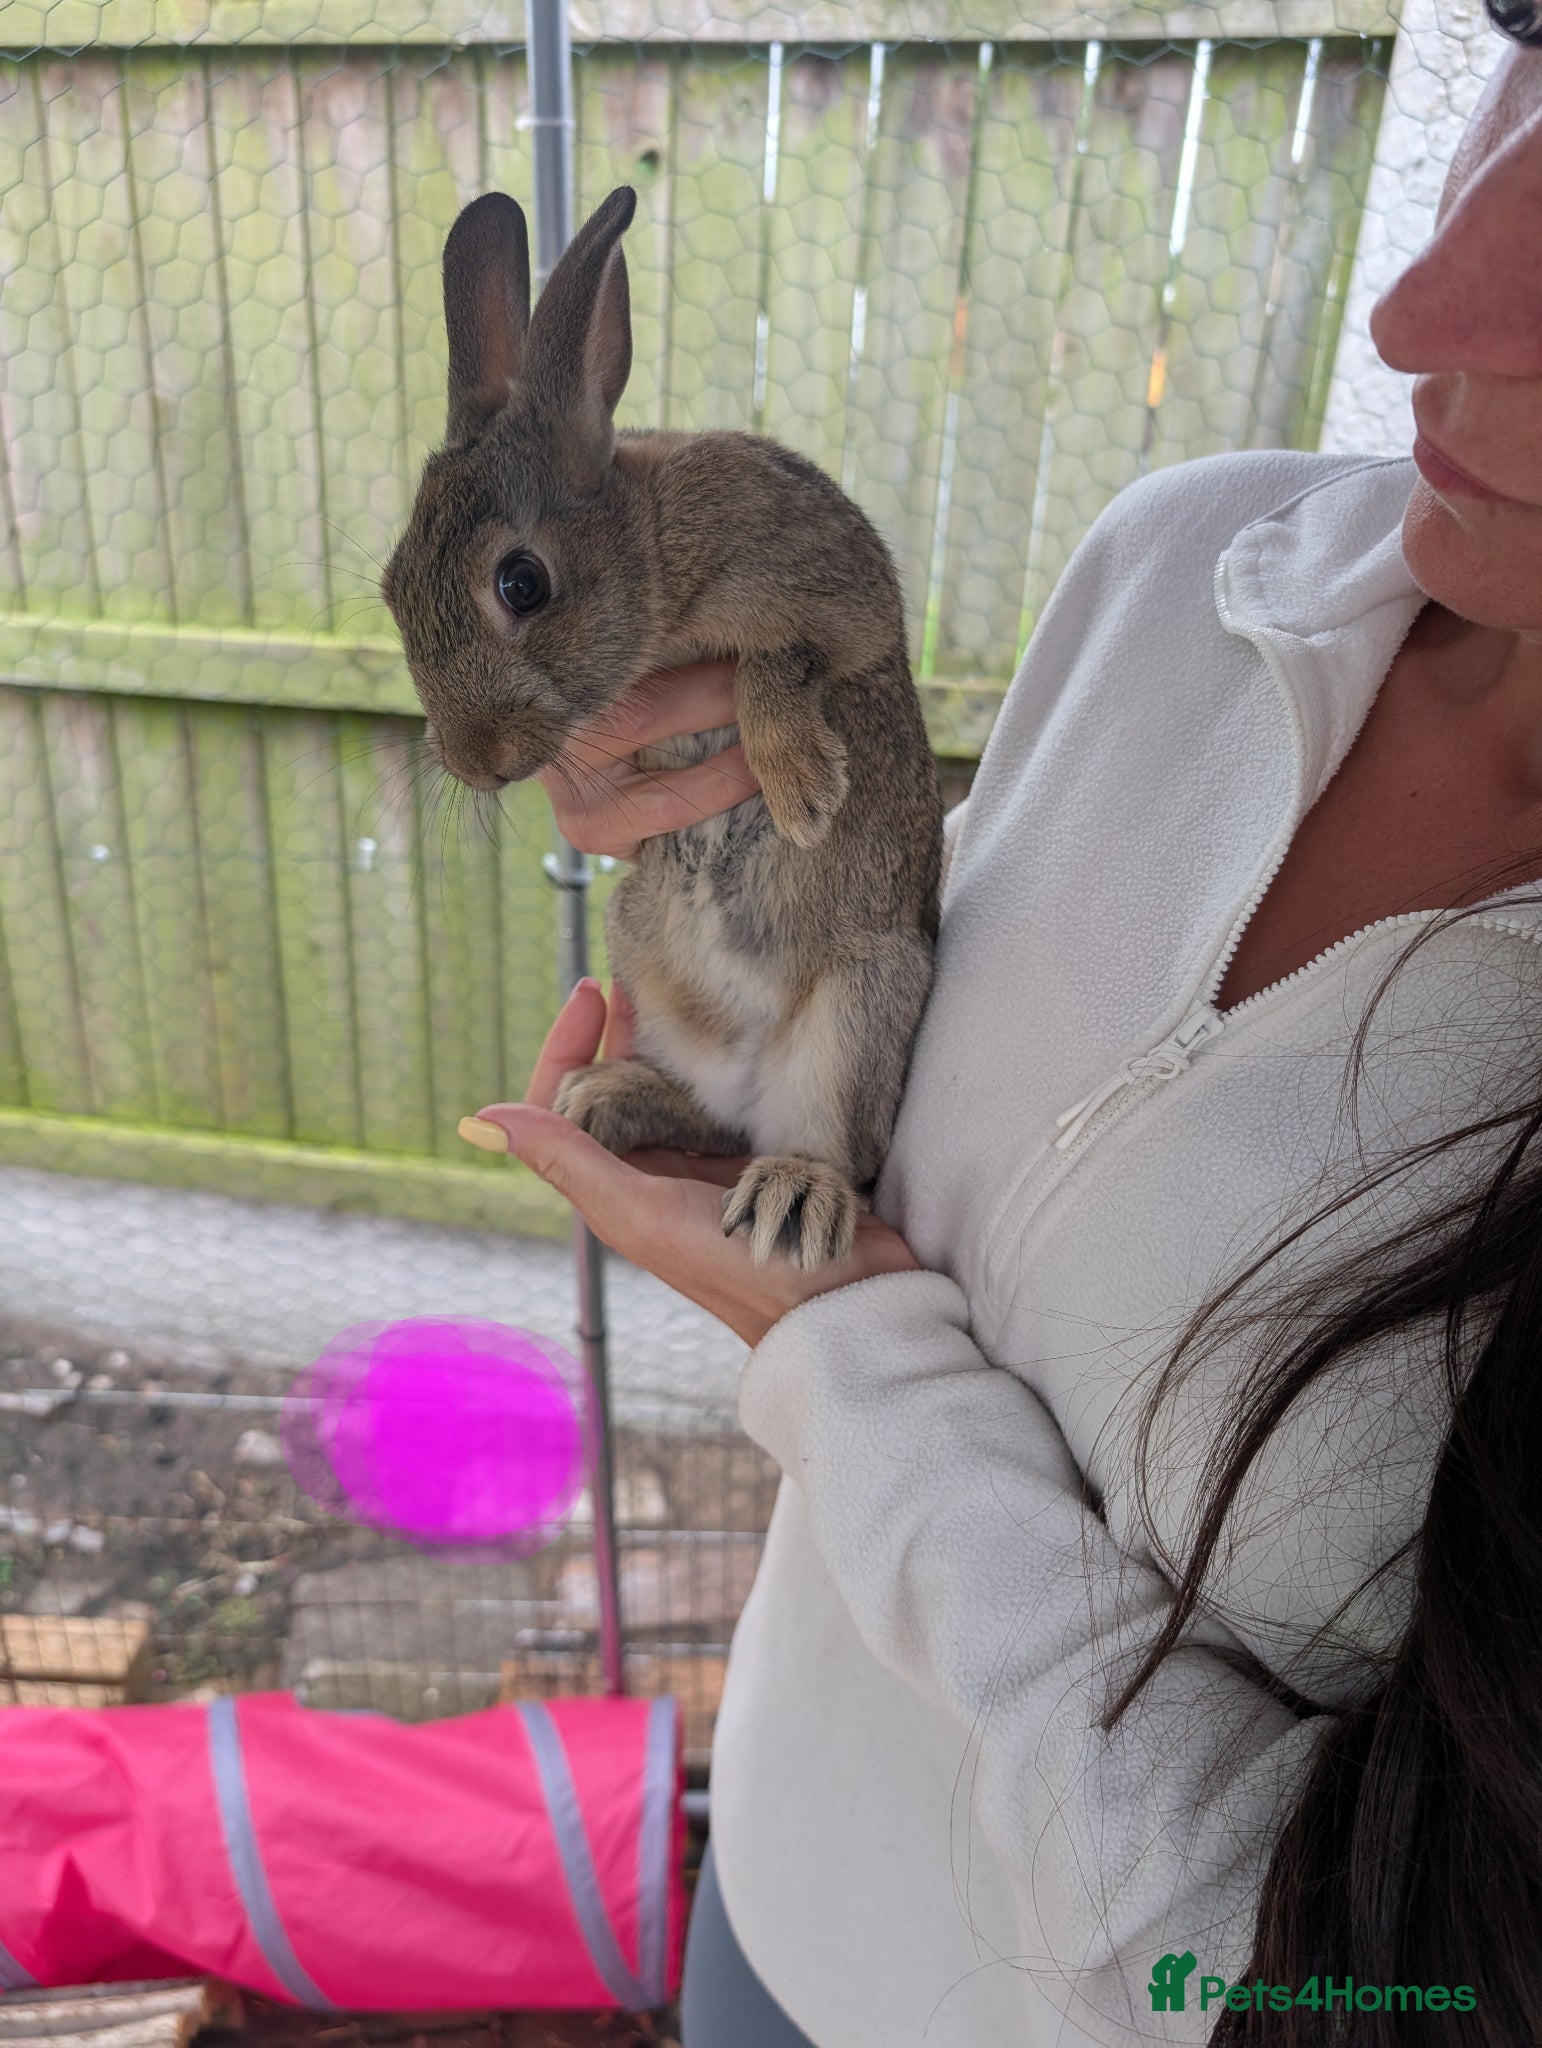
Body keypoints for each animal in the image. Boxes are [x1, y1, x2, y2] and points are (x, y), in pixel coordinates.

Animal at [381, 184, 944, 1270]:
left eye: (522, 582)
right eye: (392, 593)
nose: (476, 762)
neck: (648, 548)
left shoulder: (847, 601)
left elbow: (781, 658)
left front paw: (803, 789)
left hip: (861, 1000)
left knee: (822, 1144)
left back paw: (794, 1196)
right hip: (640, 944)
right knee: (717, 1118)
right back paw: (609, 1096)